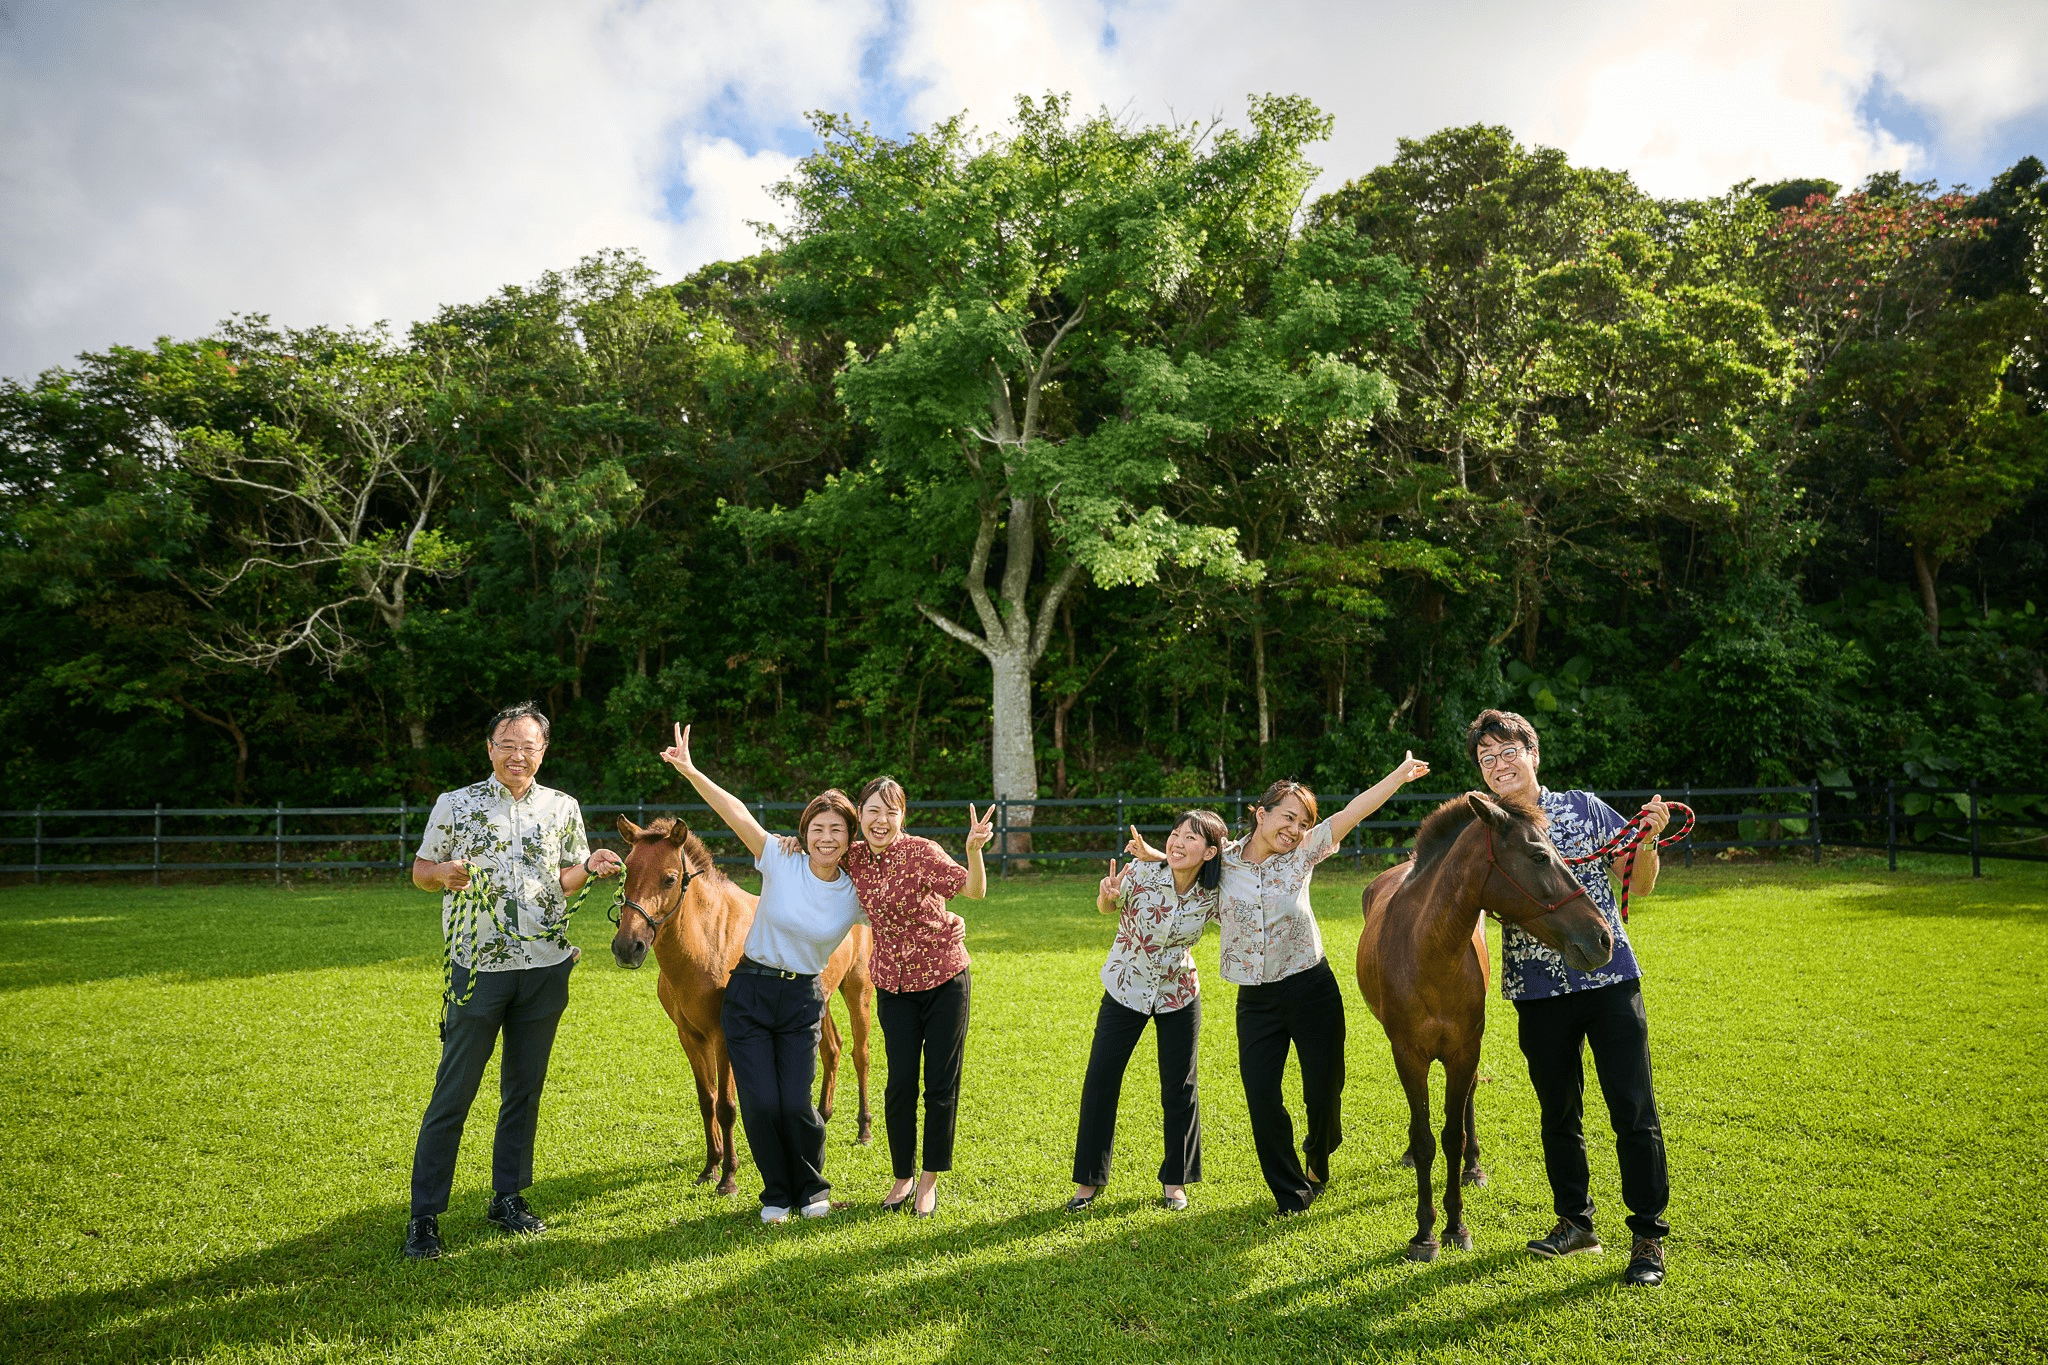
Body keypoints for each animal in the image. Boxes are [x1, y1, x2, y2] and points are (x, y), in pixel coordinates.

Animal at [598, 810, 872, 1195]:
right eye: (625, 875)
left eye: (669, 879)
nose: (628, 947)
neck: (707, 940)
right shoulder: (690, 1037)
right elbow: (707, 1101)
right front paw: (710, 1167)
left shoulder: (722, 1038)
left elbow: (727, 1106)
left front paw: (728, 1177)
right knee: (832, 1049)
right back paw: (822, 1117)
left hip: (857, 988)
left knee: (860, 1055)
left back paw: (864, 1129)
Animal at [1359, 794, 1613, 1268]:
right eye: (1539, 855)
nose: (1602, 937)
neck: (1430, 951)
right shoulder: (1409, 1055)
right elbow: (1425, 1138)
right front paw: (1425, 1233)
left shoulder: (1463, 1052)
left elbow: (1452, 1137)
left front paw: (1455, 1226)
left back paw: (1473, 1168)